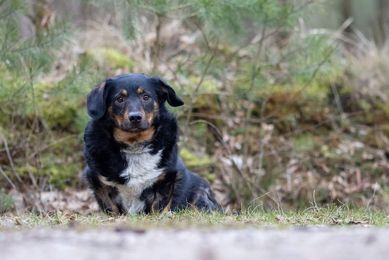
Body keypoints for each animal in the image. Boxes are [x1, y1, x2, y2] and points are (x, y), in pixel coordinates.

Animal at [83, 73, 220, 215]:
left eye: (146, 97)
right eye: (119, 99)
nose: (135, 117)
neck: (135, 145)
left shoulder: (167, 179)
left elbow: (159, 206)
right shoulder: (98, 182)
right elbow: (112, 207)